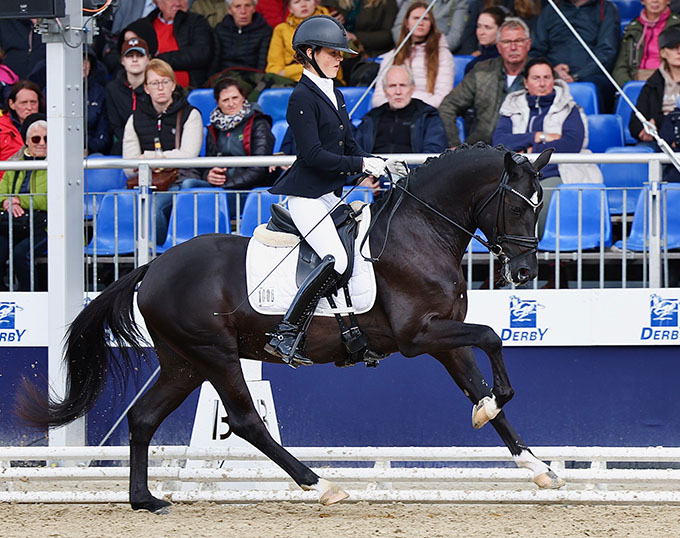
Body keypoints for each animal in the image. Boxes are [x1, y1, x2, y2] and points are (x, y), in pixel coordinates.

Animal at [17, 143, 563, 513]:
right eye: (519, 206)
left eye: (541, 206)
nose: (524, 273)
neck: (420, 232)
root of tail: (153, 267)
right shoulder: (419, 337)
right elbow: (491, 338)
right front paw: (498, 405)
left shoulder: (445, 334)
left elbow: (478, 385)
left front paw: (536, 466)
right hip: (215, 356)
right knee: (244, 421)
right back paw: (320, 484)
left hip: (183, 362)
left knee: (143, 418)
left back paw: (146, 500)